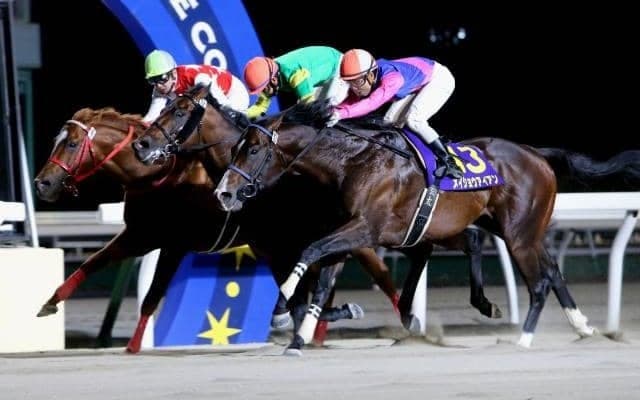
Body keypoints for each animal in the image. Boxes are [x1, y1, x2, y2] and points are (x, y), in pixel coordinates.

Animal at [34, 107, 404, 352]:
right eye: (57, 140)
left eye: (70, 144)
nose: (42, 184)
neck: (159, 175)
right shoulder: (140, 235)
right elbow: (91, 262)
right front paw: (49, 303)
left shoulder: (172, 244)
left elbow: (152, 296)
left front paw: (134, 345)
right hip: (278, 243)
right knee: (311, 284)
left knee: (377, 273)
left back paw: (401, 323)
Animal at [212, 99, 640, 352]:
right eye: (234, 148)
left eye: (253, 149)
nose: (224, 193)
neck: (354, 161)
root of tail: (537, 154)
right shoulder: (358, 231)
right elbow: (322, 276)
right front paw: (299, 338)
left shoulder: (367, 228)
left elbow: (310, 250)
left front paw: (283, 308)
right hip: (515, 229)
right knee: (549, 270)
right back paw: (581, 327)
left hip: (519, 235)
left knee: (539, 282)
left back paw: (523, 339)